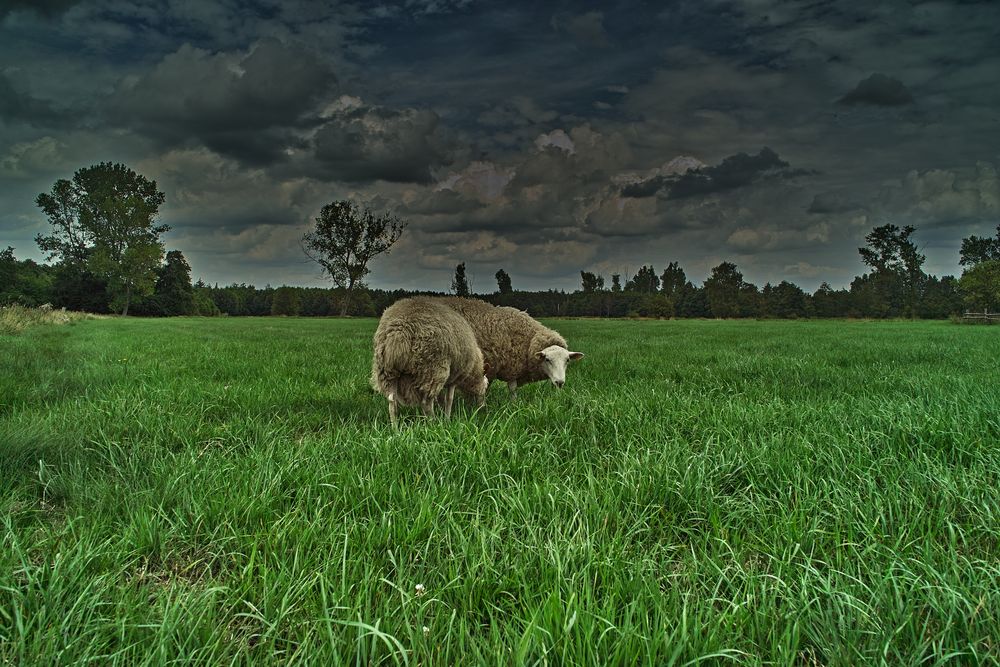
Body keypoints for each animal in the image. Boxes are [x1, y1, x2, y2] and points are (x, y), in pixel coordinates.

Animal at [372, 298, 488, 428]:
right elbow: (449, 399)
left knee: (392, 402)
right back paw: (433, 423)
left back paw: (395, 428)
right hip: (432, 369)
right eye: (486, 387)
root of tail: (398, 333)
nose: (482, 407)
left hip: (386, 371)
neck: (473, 370)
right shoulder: (454, 377)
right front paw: (447, 419)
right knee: (425, 403)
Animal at [436, 298, 580, 402]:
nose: (560, 382)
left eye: (567, 360)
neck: (529, 342)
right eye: (547, 359)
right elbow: (512, 388)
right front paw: (513, 405)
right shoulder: (510, 366)